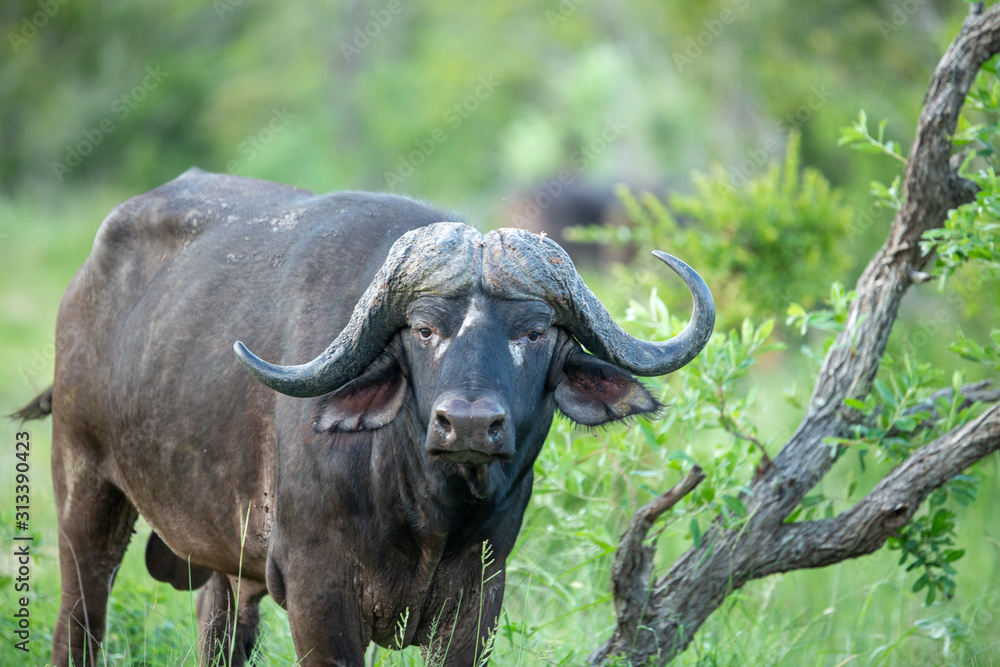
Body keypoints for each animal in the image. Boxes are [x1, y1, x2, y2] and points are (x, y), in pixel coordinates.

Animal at [13, 168, 714, 666]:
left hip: (225, 562)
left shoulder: (479, 598)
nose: (467, 424)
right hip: (83, 492)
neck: (425, 510)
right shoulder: (318, 596)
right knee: (78, 623)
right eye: (424, 329)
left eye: (535, 332)